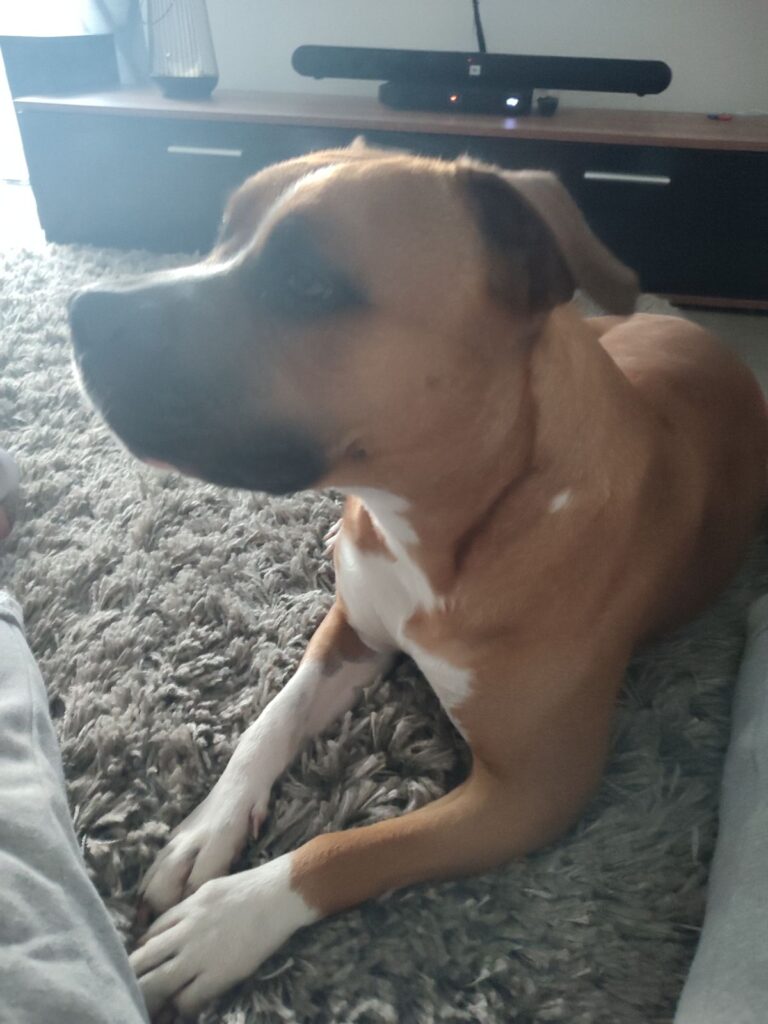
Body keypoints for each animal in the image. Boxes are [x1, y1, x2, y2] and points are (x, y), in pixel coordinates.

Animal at [69, 141, 768, 1018]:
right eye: (220, 234)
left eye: (308, 284)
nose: (81, 310)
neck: (434, 527)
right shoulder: (351, 632)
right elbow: (271, 722)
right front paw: (205, 829)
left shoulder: (532, 792)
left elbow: (349, 847)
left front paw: (227, 921)